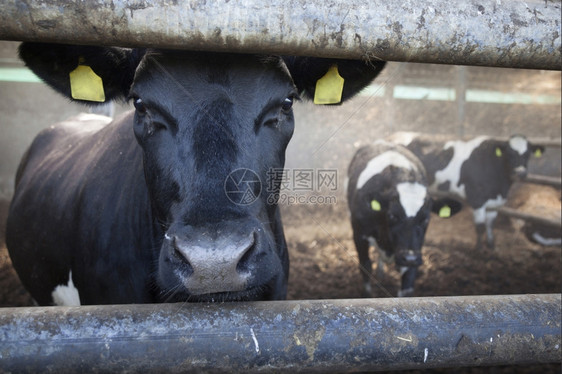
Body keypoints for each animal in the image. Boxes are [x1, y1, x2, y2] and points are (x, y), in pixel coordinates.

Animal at [344, 141, 458, 298]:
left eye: (425, 219)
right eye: (393, 215)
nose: (409, 258)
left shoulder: (414, 250)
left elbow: (407, 285)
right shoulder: (359, 234)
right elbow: (365, 266)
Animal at [390, 133, 544, 250]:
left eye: (528, 154)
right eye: (510, 154)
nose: (521, 173)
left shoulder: (495, 203)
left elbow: (490, 225)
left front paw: (491, 246)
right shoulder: (477, 200)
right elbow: (480, 227)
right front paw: (478, 250)